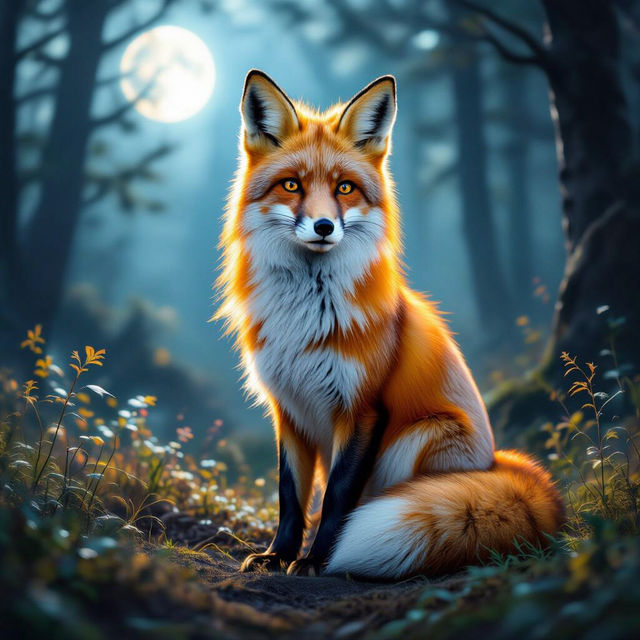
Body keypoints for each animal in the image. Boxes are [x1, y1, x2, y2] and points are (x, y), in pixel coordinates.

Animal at [216, 69, 564, 579]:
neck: (305, 318)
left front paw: (316, 561)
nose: (324, 227)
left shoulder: (362, 407)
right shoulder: (289, 409)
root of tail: (496, 463)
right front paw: (278, 555)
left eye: (344, 188)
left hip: (419, 438)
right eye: (291, 185)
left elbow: (337, 498)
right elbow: (290, 497)